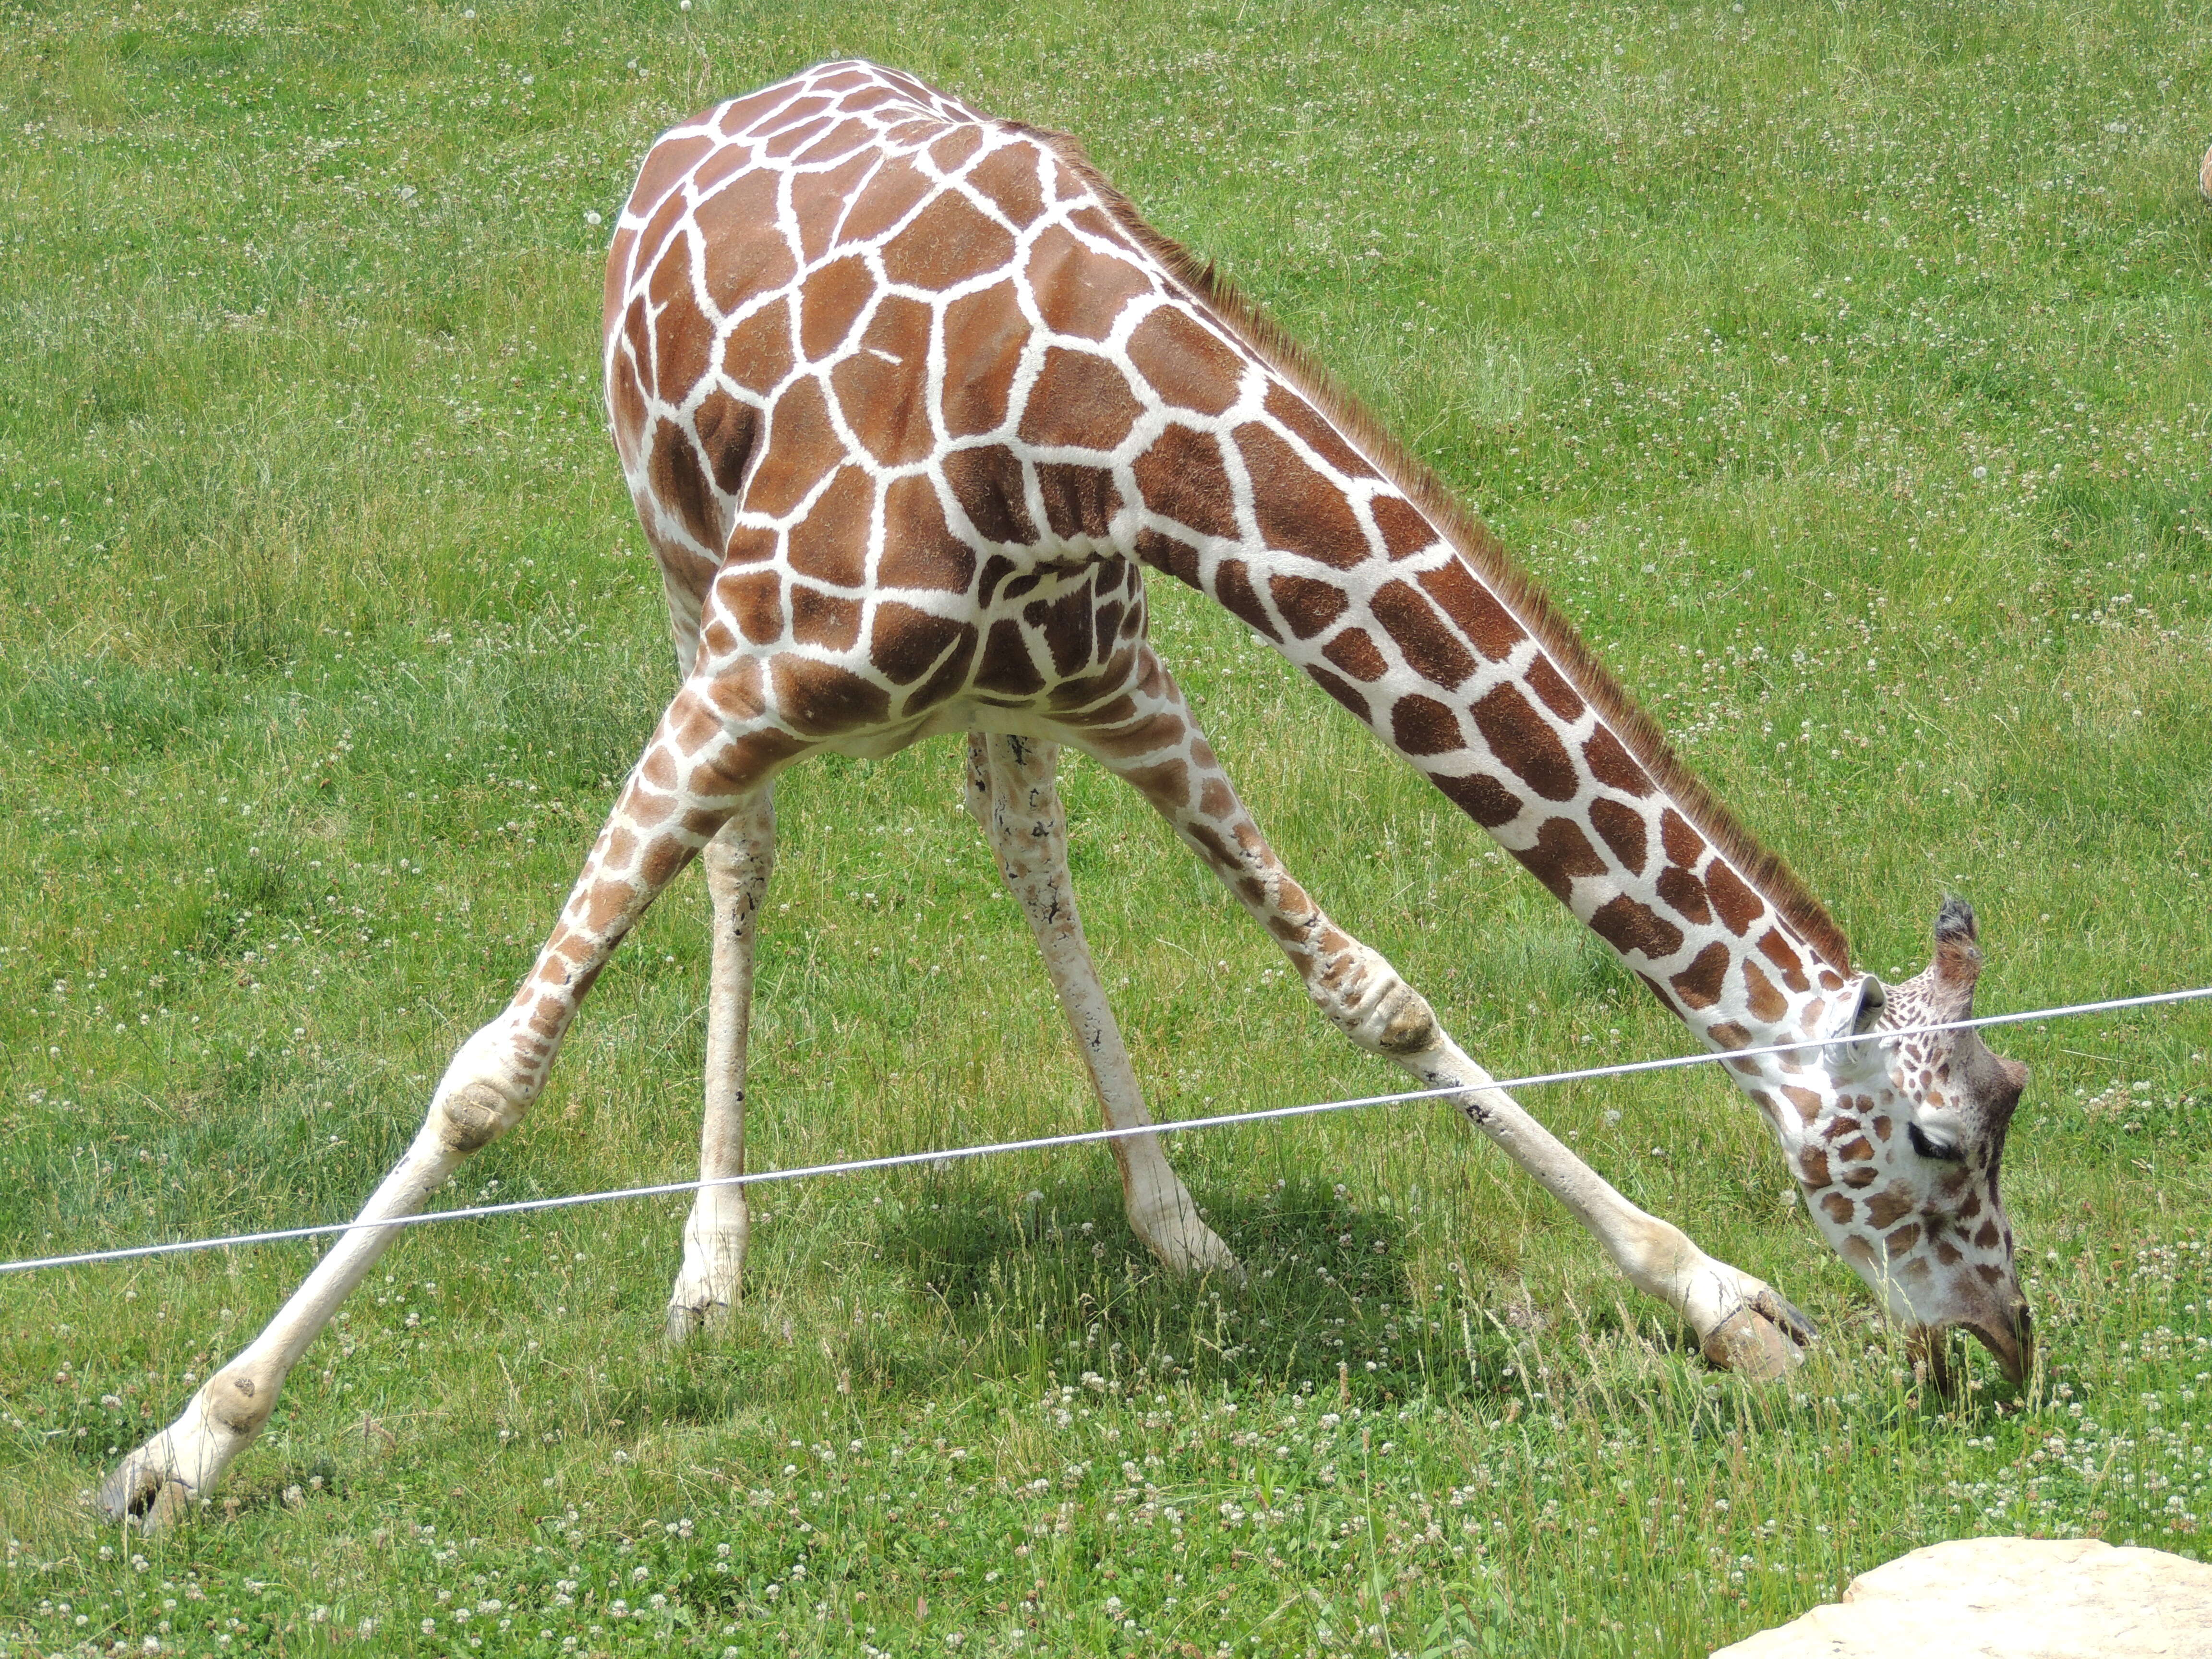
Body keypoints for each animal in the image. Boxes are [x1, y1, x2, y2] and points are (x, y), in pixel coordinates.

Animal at [95, 59, 2026, 1530]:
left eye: (2011, 1102)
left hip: (1013, 698)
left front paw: (1725, 1304)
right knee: (746, 868)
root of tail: (706, 112)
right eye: (1933, 1141)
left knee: (1025, 852)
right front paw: (185, 1444)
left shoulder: (1126, 681)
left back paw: (1168, 1217)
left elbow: (1371, 994)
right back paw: (710, 1264)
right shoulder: (740, 682)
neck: (1083, 414)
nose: (2005, 1350)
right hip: (675, 569)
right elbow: (496, 1070)